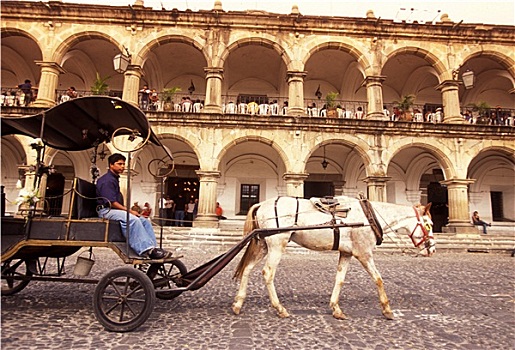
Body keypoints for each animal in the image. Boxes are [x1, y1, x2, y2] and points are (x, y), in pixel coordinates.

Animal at [232, 196, 434, 322]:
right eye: (429, 225)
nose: (432, 248)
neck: (369, 216)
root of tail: (261, 204)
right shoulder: (364, 253)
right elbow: (378, 279)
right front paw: (387, 310)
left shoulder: (346, 253)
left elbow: (340, 279)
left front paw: (336, 308)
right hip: (276, 244)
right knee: (268, 273)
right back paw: (279, 308)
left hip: (263, 245)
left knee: (247, 268)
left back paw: (238, 303)